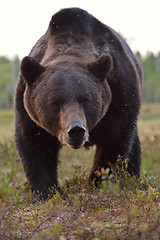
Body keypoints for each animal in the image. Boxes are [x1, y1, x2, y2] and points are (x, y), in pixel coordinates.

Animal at [14, 7, 142, 199]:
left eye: (85, 99)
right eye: (55, 102)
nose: (76, 130)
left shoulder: (120, 96)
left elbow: (114, 143)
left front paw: (97, 184)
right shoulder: (27, 109)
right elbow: (35, 146)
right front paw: (47, 192)